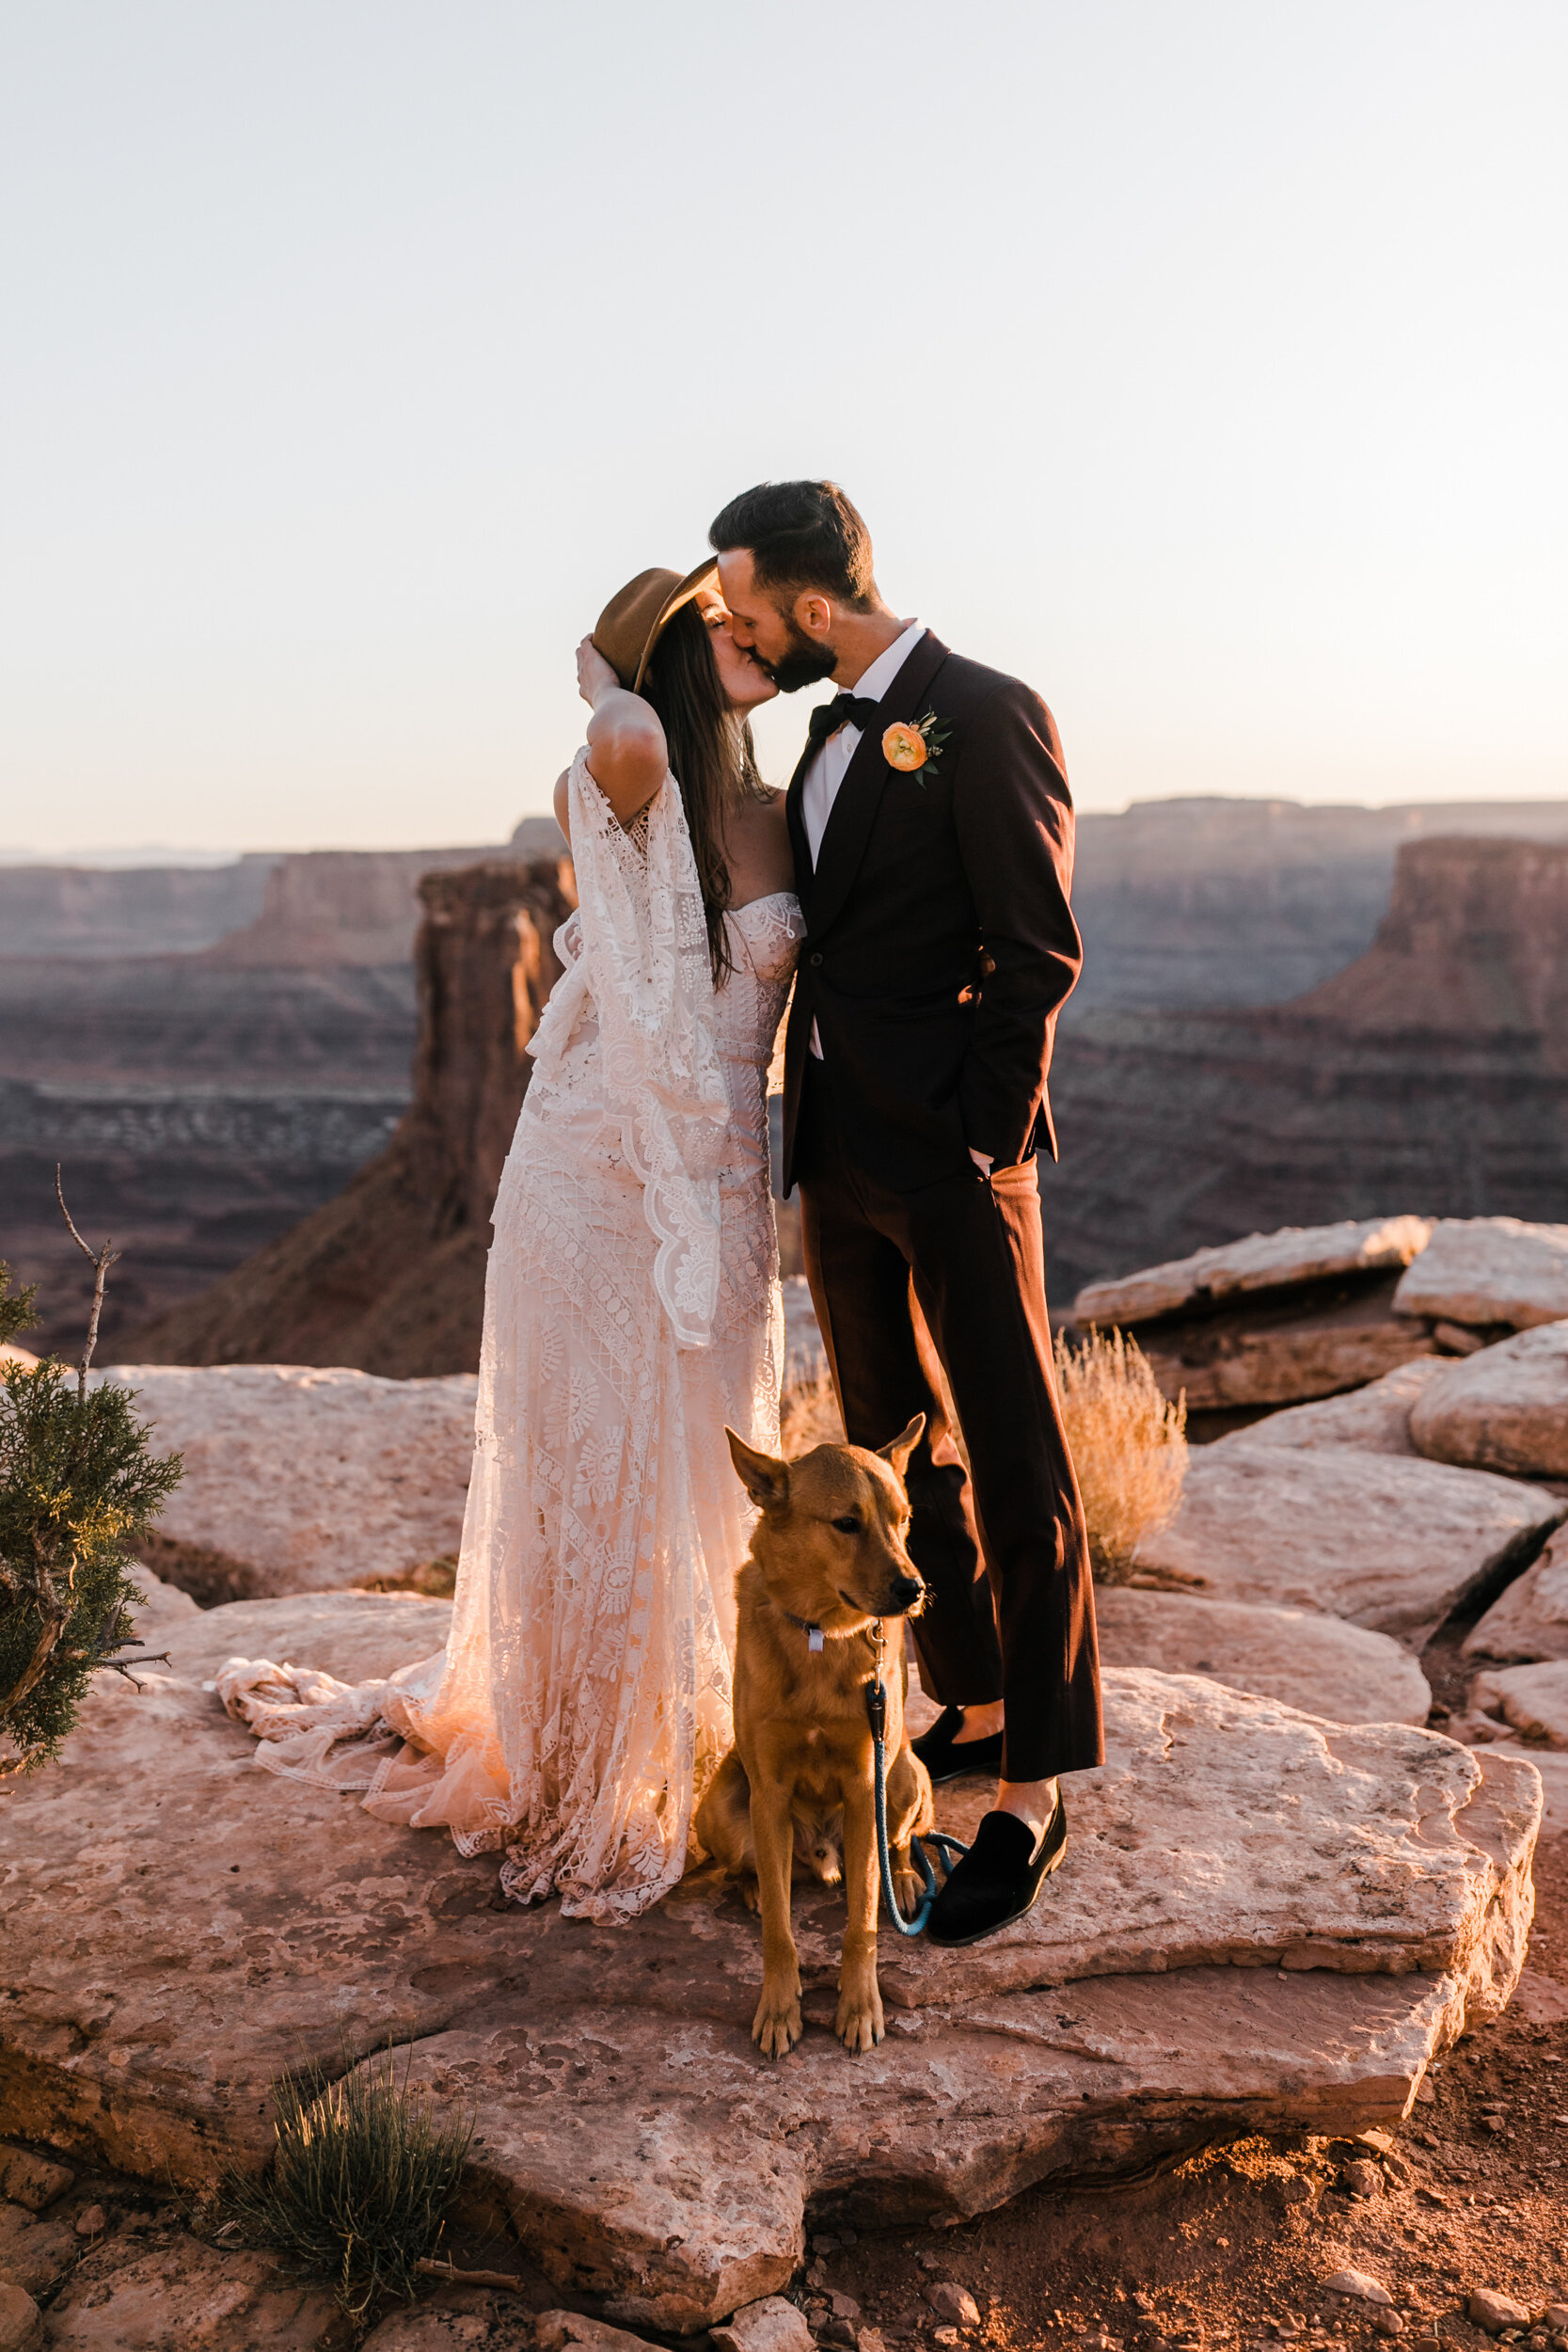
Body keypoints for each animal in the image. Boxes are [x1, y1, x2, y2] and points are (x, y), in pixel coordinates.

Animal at [695, 1411, 930, 2060]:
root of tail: (823, 1853)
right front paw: (779, 2009)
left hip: (904, 1776)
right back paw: (754, 1883)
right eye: (847, 1523)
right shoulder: (770, 1791)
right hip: (718, 1806)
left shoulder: (865, 1784)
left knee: (898, 1844)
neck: (823, 1635)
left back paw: (904, 1879)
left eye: (904, 1518)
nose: (915, 1590)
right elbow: (779, 1928)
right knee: (758, 1866)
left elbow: (862, 1925)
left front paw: (860, 2006)